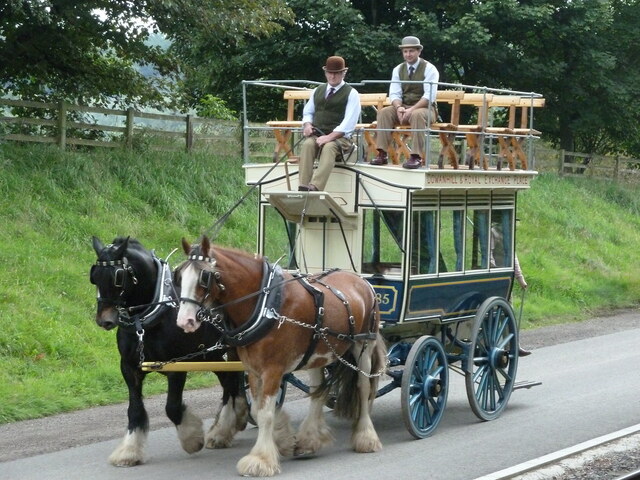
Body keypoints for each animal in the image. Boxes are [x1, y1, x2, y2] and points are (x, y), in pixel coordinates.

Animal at [90, 236, 248, 464]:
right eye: (94, 276)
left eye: (118, 276)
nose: (104, 320)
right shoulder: (129, 367)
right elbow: (134, 409)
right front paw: (129, 450)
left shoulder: (176, 367)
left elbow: (172, 407)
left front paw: (192, 439)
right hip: (214, 354)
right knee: (230, 383)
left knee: (233, 383)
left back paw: (224, 428)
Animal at [172, 236, 388, 476]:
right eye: (179, 275)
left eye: (204, 277)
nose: (185, 321)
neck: (266, 304)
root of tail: (361, 280)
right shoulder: (253, 370)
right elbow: (258, 409)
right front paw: (282, 439)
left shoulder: (273, 369)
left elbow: (265, 413)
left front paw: (261, 459)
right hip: (317, 351)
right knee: (318, 392)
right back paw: (309, 440)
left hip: (363, 346)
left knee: (363, 389)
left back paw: (366, 437)